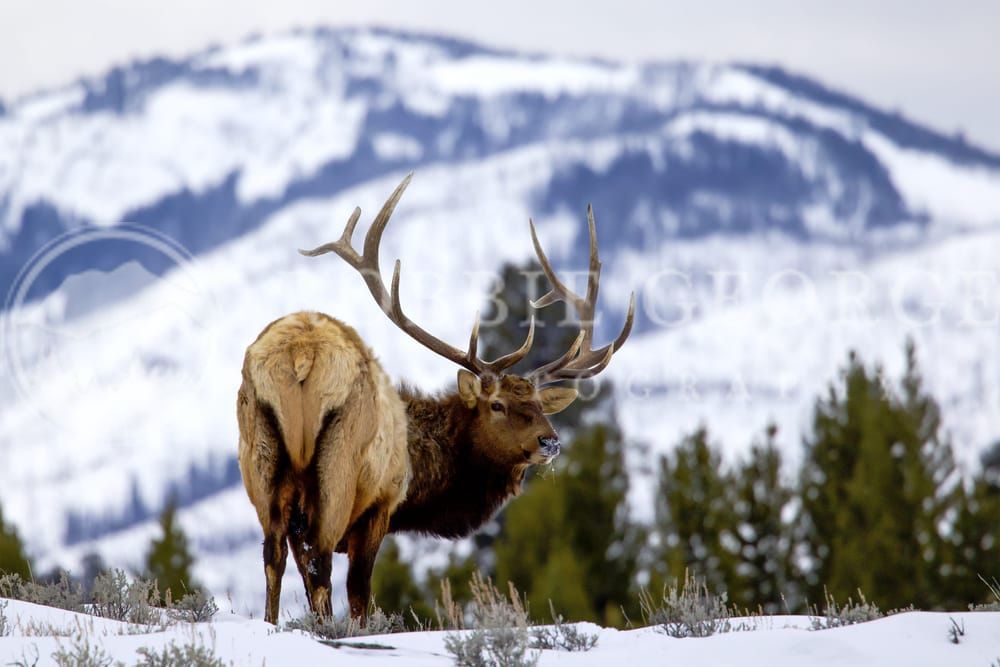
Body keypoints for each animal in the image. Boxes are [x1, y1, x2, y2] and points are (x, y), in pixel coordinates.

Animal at [237, 174, 634, 624]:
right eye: (496, 405)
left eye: (537, 405)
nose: (549, 441)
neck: (420, 491)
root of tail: (302, 357)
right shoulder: (379, 507)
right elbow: (358, 594)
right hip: (336, 475)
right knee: (321, 567)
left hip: (263, 467)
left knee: (273, 558)